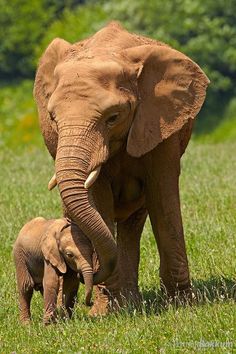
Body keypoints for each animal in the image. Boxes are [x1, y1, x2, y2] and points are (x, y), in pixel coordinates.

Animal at [34, 21, 209, 316]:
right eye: (53, 118)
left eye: (113, 118)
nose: (83, 273)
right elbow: (98, 198)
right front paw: (107, 312)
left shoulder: (160, 121)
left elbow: (164, 198)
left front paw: (184, 306)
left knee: (134, 223)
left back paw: (132, 304)